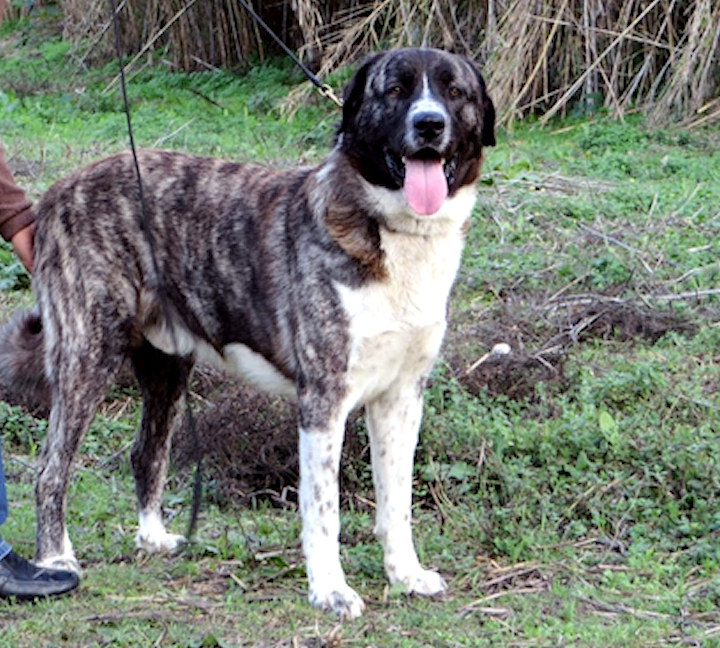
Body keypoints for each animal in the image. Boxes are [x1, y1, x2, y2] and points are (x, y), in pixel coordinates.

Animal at [0, 47, 495, 618]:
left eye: (454, 92)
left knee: (146, 452)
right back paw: (55, 559)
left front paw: (405, 574)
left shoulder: (401, 398)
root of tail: (59, 191)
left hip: (168, 367)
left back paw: (153, 538)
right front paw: (330, 589)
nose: (429, 123)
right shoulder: (323, 400)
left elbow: (398, 501)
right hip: (88, 354)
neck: (395, 232)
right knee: (50, 468)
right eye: (394, 91)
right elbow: (323, 509)